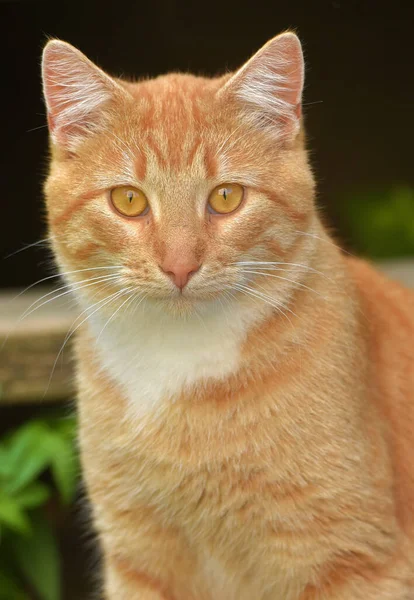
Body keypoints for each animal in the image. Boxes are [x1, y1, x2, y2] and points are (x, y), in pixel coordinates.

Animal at [41, 34, 414, 600]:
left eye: (226, 196)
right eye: (128, 200)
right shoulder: (138, 555)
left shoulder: (352, 559)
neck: (179, 362)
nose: (179, 265)